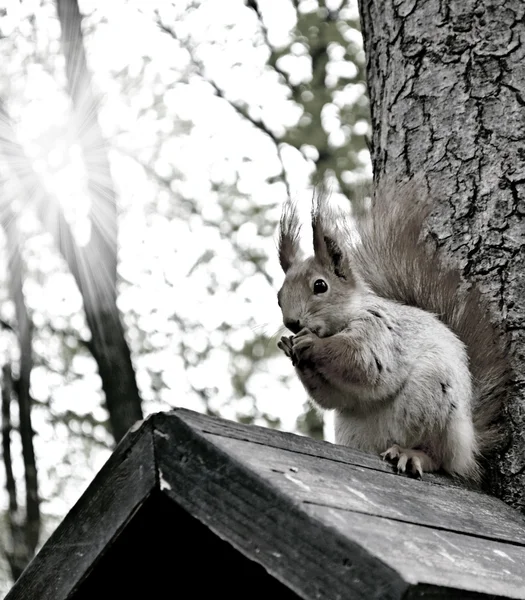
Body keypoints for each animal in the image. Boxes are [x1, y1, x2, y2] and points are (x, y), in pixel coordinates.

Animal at [274, 180, 508, 480]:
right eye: (279, 297)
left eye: (320, 286)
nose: (292, 323)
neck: (345, 318)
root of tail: (469, 445)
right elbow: (331, 397)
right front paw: (289, 346)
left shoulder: (378, 330)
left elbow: (364, 363)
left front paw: (312, 344)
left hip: (433, 396)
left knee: (439, 459)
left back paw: (412, 454)